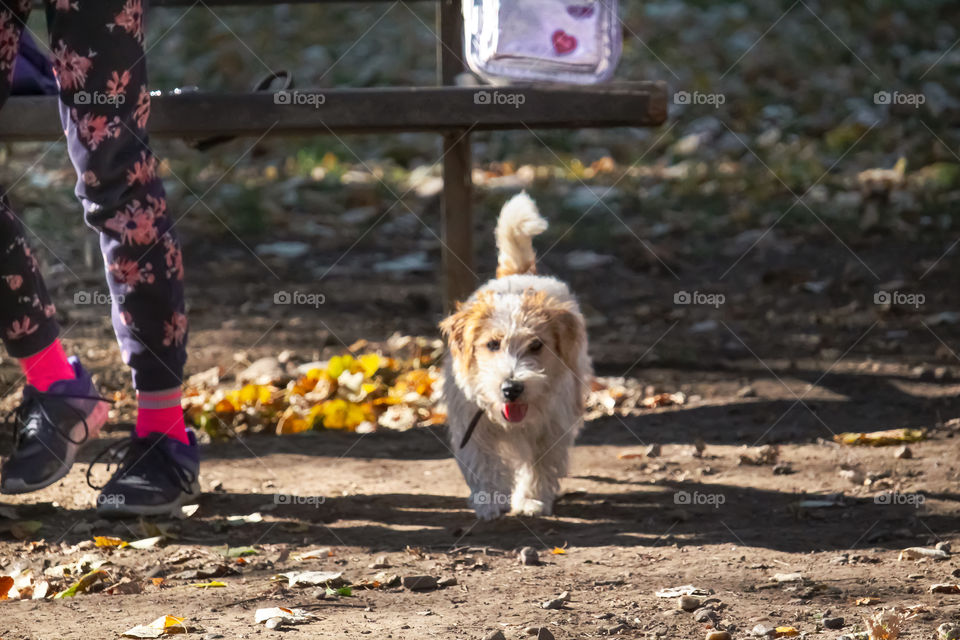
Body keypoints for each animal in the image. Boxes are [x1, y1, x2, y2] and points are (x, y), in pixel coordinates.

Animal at [442, 194, 592, 520]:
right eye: (492, 344)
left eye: (536, 345)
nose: (511, 388)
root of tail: (520, 272)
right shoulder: (472, 428)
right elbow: (482, 463)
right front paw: (488, 501)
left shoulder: (550, 429)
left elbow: (539, 465)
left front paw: (532, 500)